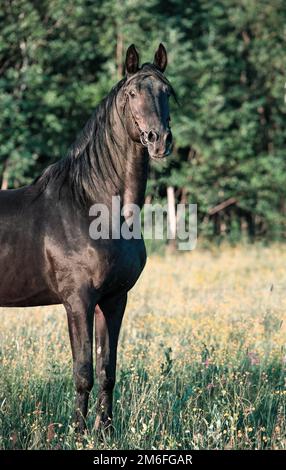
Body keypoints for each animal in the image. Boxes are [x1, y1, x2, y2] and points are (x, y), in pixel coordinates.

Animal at [0, 44, 174, 434]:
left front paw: (105, 431)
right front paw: (78, 433)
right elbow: (83, 371)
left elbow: (108, 370)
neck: (93, 206)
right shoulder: (77, 301)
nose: (159, 140)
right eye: (131, 93)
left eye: (167, 92)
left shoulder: (113, 300)